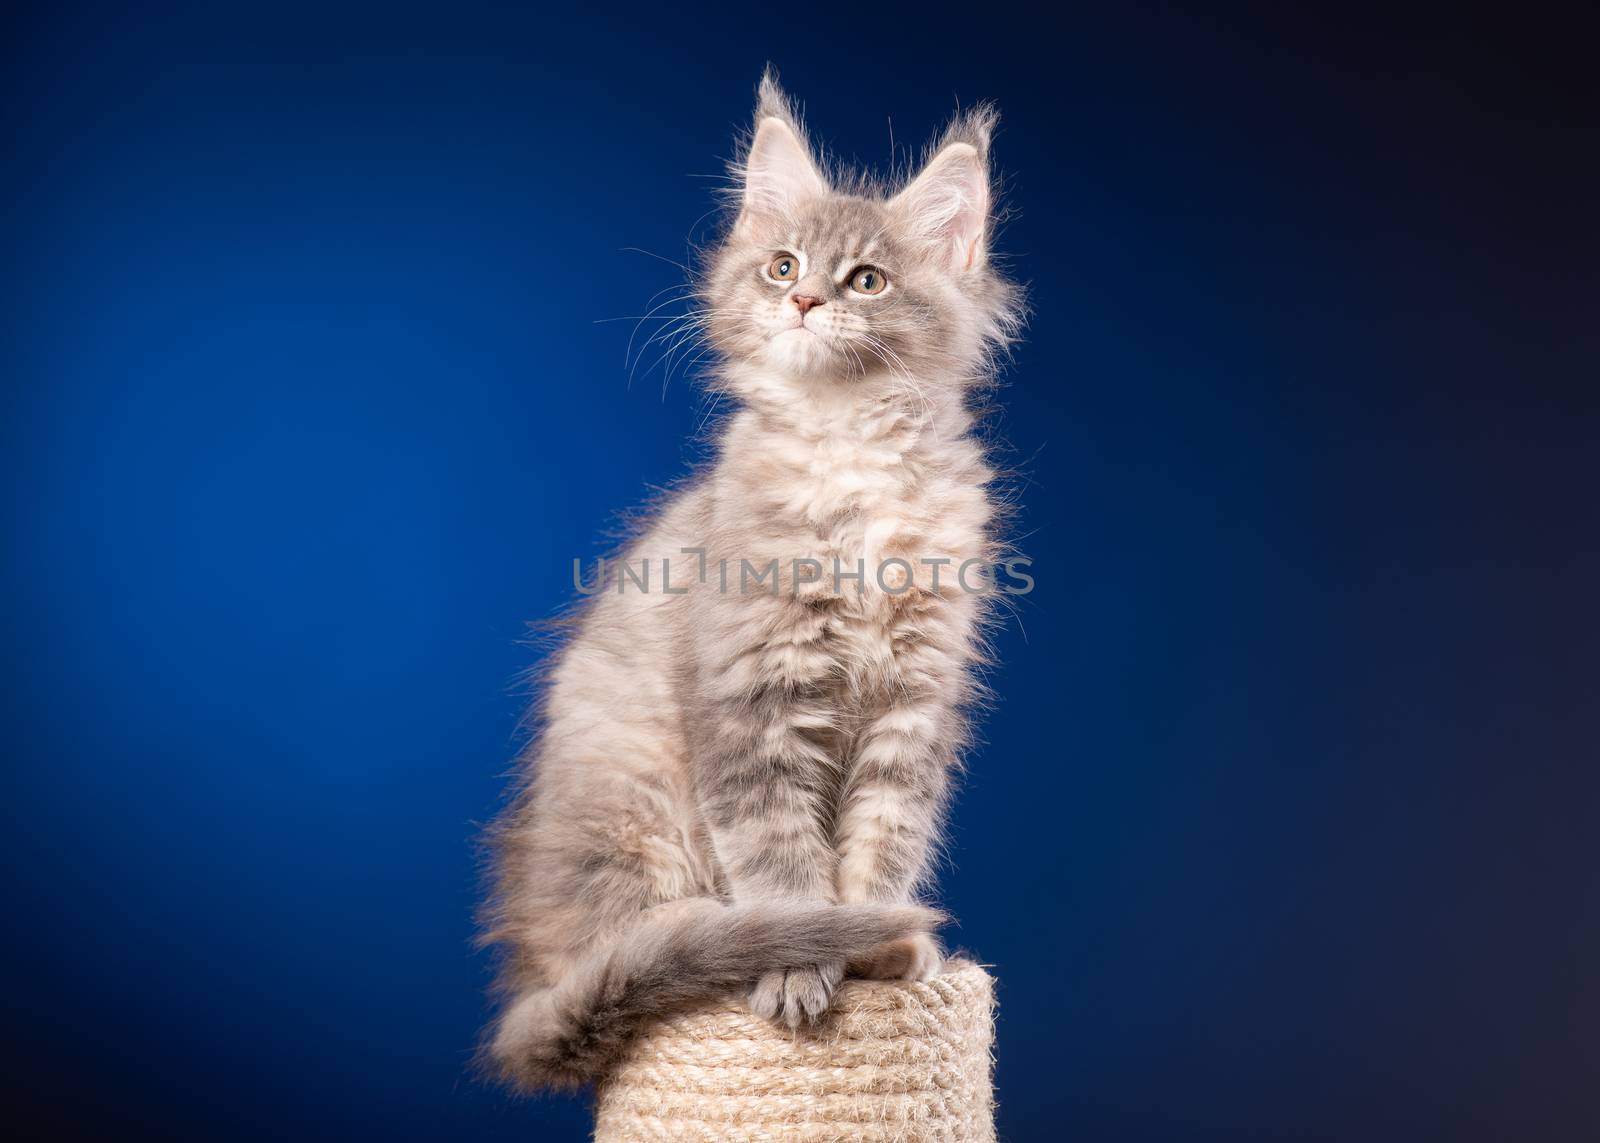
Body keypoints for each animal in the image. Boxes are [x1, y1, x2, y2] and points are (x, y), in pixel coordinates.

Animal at [480, 71, 1024, 1088]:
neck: (849, 456)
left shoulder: (915, 697)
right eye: (780, 266)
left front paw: (877, 946)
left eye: (865, 280)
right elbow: (781, 857)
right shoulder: (750, 699)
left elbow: (885, 838)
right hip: (632, 805)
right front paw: (798, 965)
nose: (805, 300)